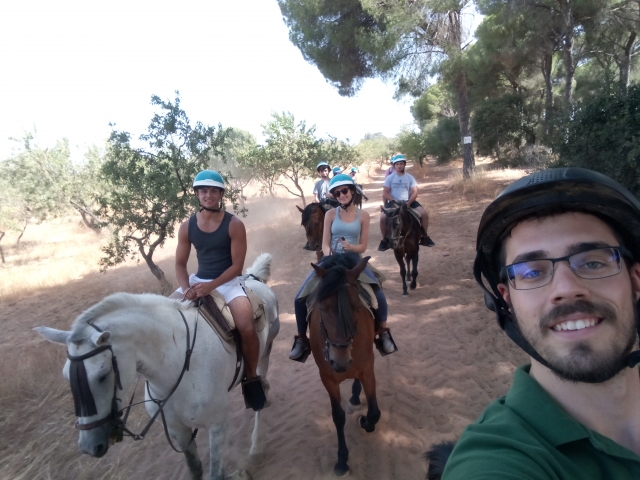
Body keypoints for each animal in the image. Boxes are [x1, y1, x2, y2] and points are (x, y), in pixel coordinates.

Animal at [34, 253, 280, 480]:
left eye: (102, 375)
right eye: (67, 377)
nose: (88, 447)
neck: (176, 369)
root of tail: (252, 278)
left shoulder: (218, 425)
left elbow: (215, 474)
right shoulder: (177, 431)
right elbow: (195, 470)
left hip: (263, 356)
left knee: (259, 392)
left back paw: (256, 447)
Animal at [308, 254, 381, 477]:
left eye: (357, 307)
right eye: (323, 309)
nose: (340, 362)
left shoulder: (368, 370)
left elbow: (374, 412)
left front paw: (365, 421)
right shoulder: (327, 378)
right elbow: (338, 417)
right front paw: (341, 460)